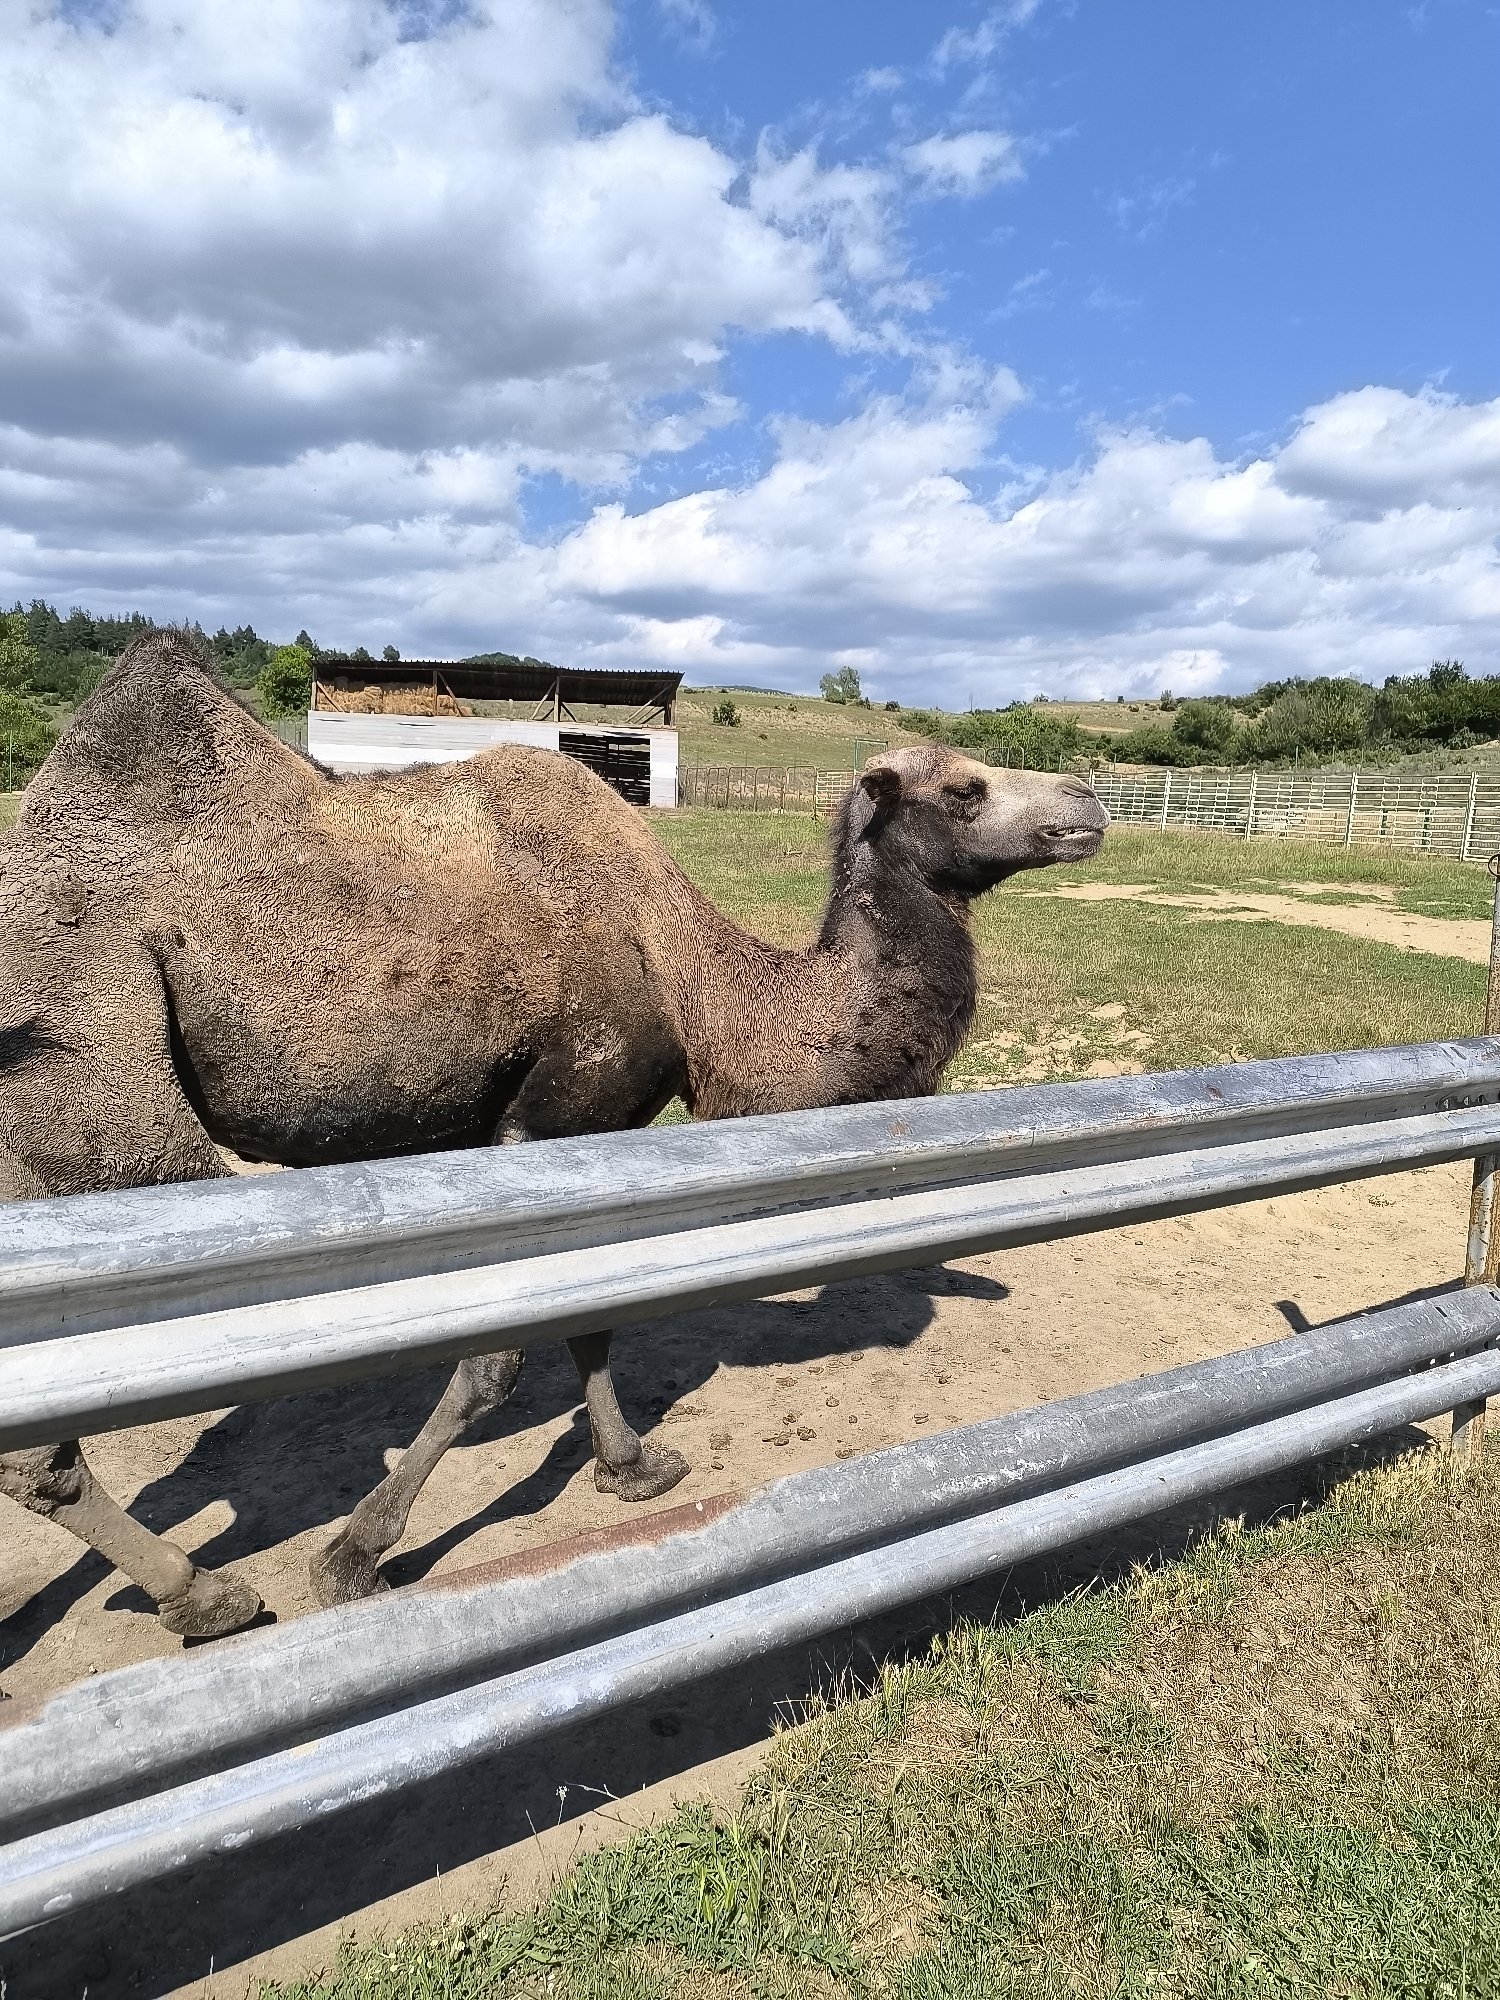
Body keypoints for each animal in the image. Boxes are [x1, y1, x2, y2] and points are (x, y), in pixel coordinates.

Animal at [0, 631, 1107, 1639]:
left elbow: (591, 1321)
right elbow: (498, 1361)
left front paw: (634, 1466)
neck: (694, 980)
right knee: (40, 1441)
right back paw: (207, 1594)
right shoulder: (553, 1115)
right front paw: (353, 1555)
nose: (1090, 801)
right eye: (964, 788)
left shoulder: (596, 1132)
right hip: (88, 1087)